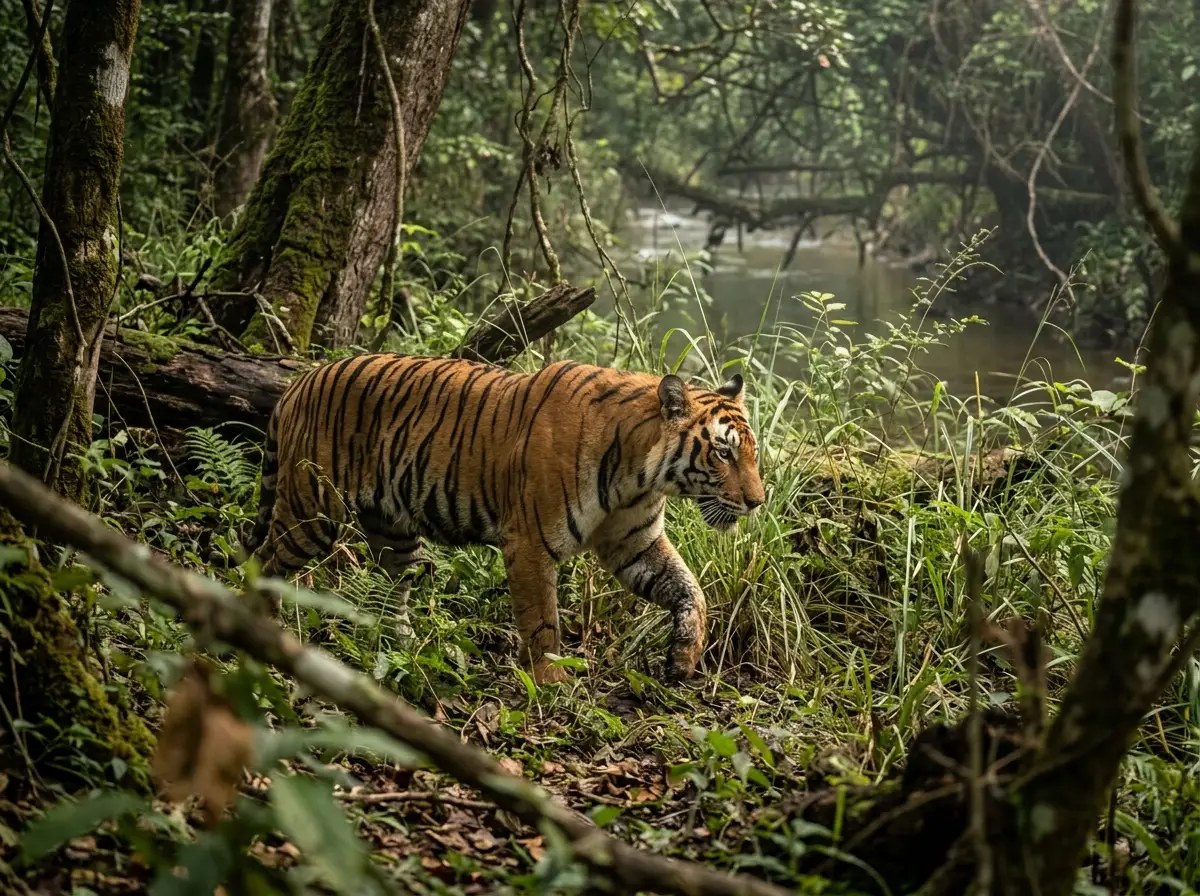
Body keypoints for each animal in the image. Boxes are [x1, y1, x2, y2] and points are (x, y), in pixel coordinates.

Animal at [234, 354, 766, 685]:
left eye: (752, 453)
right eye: (722, 452)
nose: (758, 502)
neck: (638, 475)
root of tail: (300, 381)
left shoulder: (634, 542)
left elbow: (691, 590)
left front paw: (684, 656)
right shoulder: (530, 541)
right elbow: (542, 621)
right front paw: (551, 683)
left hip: (393, 530)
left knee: (392, 592)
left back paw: (406, 647)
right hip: (312, 510)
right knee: (265, 562)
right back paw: (262, 633)